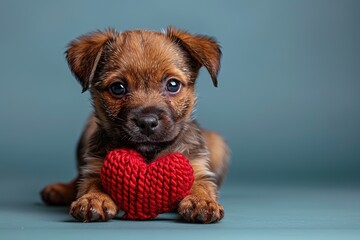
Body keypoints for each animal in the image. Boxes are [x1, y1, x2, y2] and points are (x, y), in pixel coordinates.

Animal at [40, 26, 229, 223]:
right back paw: (61, 190)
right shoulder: (97, 166)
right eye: (118, 88)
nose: (147, 122)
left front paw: (201, 201)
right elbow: (92, 183)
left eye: (173, 85)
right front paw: (94, 199)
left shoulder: (197, 168)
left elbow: (202, 186)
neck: (149, 155)